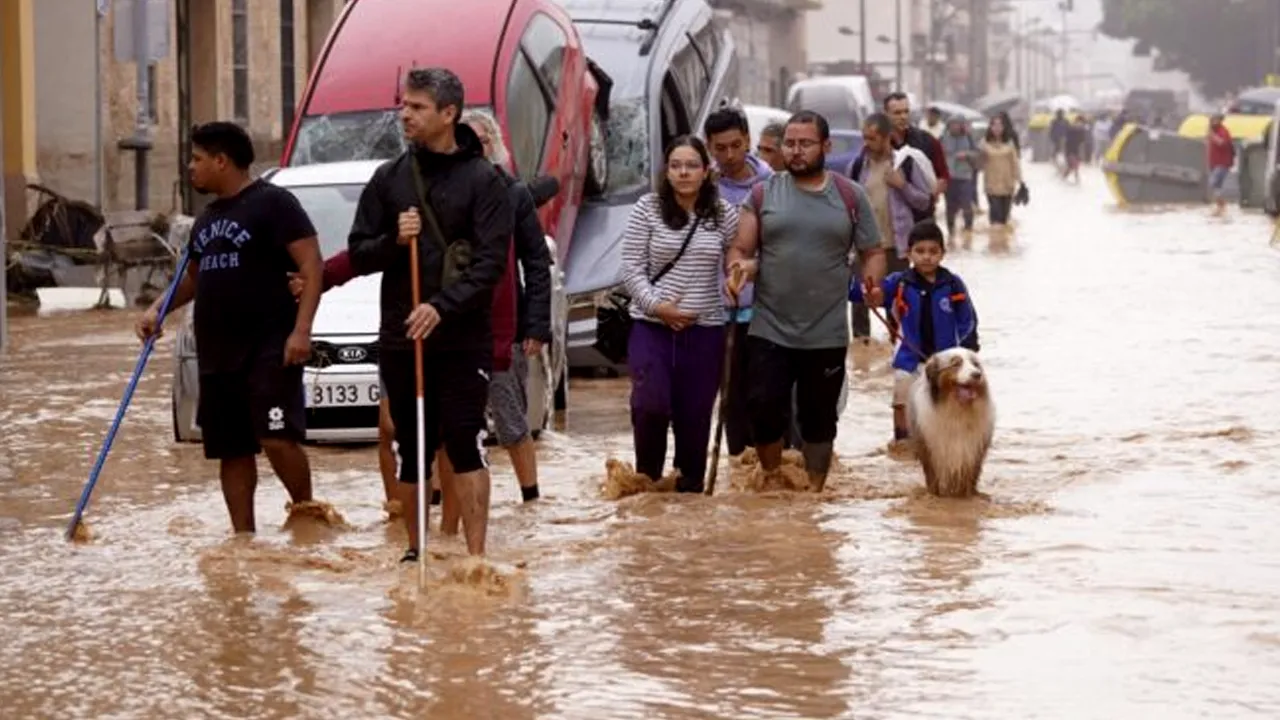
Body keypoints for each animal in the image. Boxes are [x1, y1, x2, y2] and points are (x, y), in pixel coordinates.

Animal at [906, 345, 993, 491]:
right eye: (956, 363)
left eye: (975, 364)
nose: (977, 374)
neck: (956, 409)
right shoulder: (931, 450)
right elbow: (933, 480)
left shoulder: (973, 451)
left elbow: (969, 479)